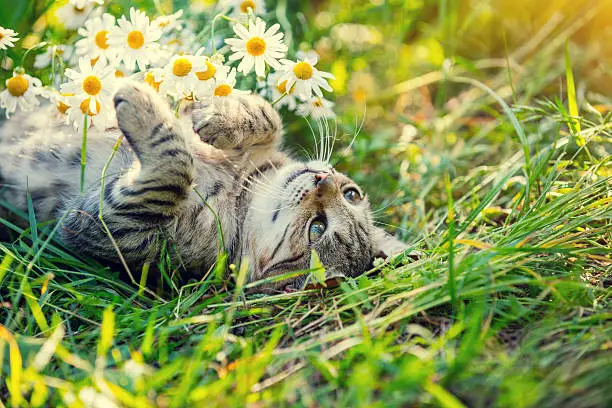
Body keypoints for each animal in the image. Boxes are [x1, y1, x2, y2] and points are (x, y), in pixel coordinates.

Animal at [0, 81, 414, 294]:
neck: (240, 186)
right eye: (352, 194)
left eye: (317, 229)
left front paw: (142, 106)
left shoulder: (111, 226)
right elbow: (269, 116)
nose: (323, 180)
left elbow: (173, 170)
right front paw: (221, 117)